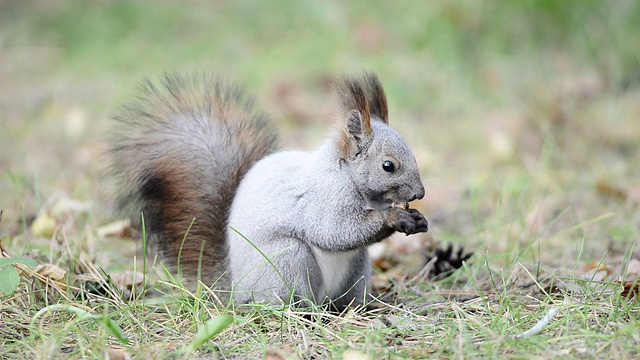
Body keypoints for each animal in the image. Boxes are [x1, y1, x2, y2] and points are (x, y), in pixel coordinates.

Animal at [109, 72, 430, 310]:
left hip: (356, 270)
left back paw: (365, 307)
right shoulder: (324, 197)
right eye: (388, 166)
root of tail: (235, 289)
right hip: (286, 260)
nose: (420, 194)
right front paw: (395, 218)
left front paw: (417, 219)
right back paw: (303, 312)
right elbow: (334, 230)